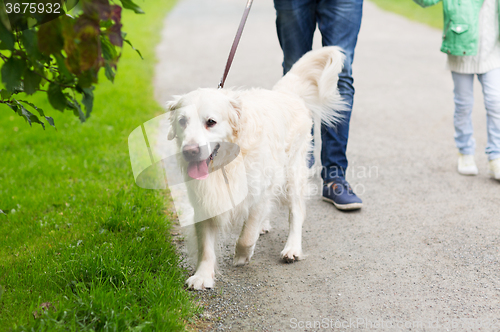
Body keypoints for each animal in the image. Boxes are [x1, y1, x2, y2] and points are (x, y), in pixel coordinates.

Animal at [166, 46, 346, 290]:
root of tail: (286, 93)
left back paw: (292, 248)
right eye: (182, 121)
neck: (227, 163)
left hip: (292, 174)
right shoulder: (205, 198)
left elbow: (247, 234)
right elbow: (206, 246)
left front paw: (242, 255)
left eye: (211, 122)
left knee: (296, 212)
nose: (190, 151)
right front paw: (203, 276)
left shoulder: (261, 192)